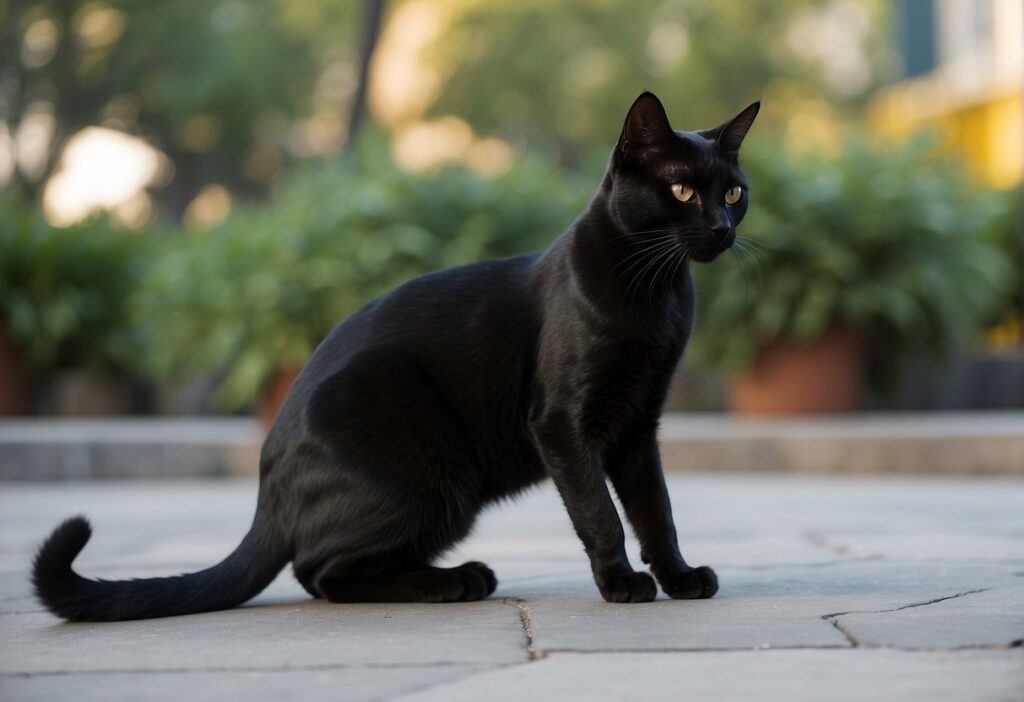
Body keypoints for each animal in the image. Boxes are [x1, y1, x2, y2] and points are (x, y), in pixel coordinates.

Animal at [32, 92, 757, 622]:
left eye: (734, 192)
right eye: (683, 191)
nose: (722, 229)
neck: (655, 293)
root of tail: (267, 493)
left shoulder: (638, 424)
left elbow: (655, 509)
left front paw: (679, 577)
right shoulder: (562, 424)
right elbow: (600, 513)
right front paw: (621, 585)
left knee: (324, 569)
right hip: (439, 475)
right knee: (319, 571)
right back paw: (457, 581)